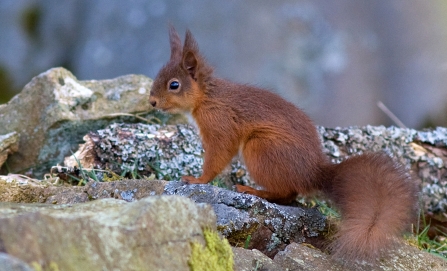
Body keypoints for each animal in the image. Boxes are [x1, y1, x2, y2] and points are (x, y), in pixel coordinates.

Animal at [150, 26, 420, 262]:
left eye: (174, 85)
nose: (151, 102)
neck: (207, 97)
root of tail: (313, 173)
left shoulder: (220, 124)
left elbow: (218, 155)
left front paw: (197, 179)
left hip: (260, 148)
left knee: (285, 193)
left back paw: (254, 191)